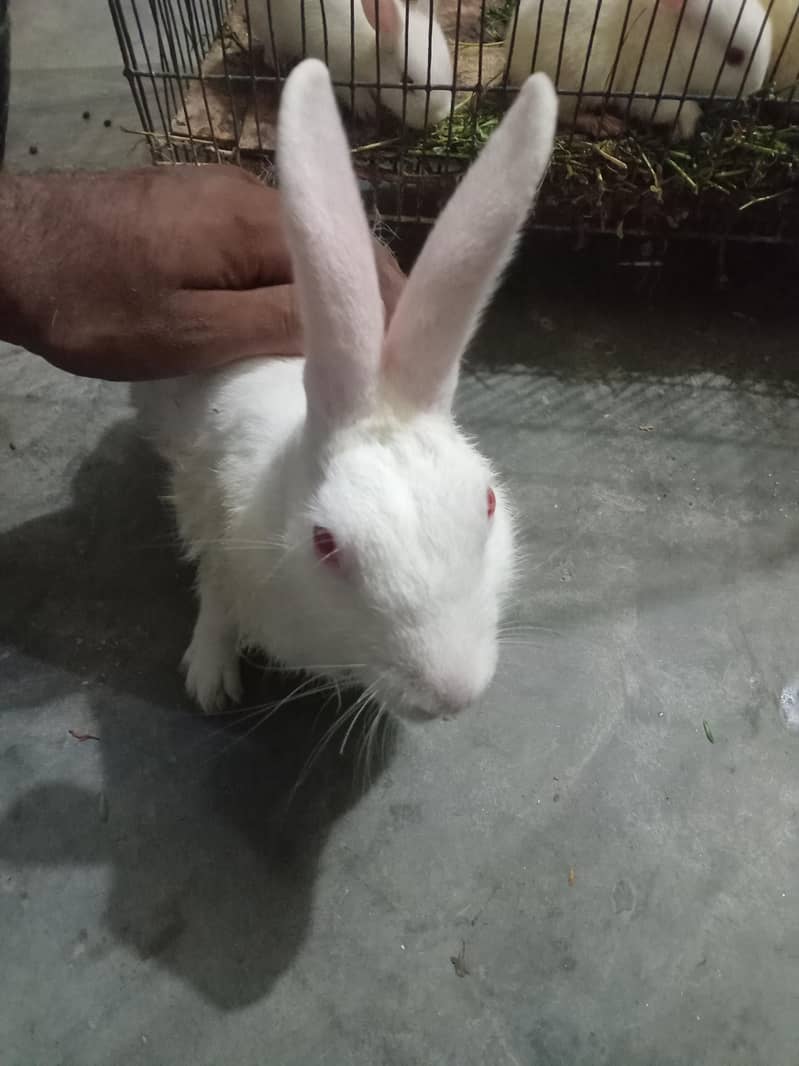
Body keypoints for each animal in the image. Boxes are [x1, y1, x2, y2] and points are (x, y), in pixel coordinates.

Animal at [132, 58, 557, 720]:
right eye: (325, 543)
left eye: (487, 502)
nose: (452, 695)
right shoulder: (209, 519)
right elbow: (214, 599)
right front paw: (210, 681)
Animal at [250, 0, 455, 129]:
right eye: (408, 81)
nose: (439, 116)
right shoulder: (335, 67)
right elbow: (352, 92)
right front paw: (367, 110)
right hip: (266, 24)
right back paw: (278, 61)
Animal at [505, 0, 773, 139]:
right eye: (735, 56)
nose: (755, 87)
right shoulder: (649, 87)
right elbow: (681, 109)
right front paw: (685, 131)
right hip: (582, 79)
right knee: (566, 113)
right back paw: (604, 125)